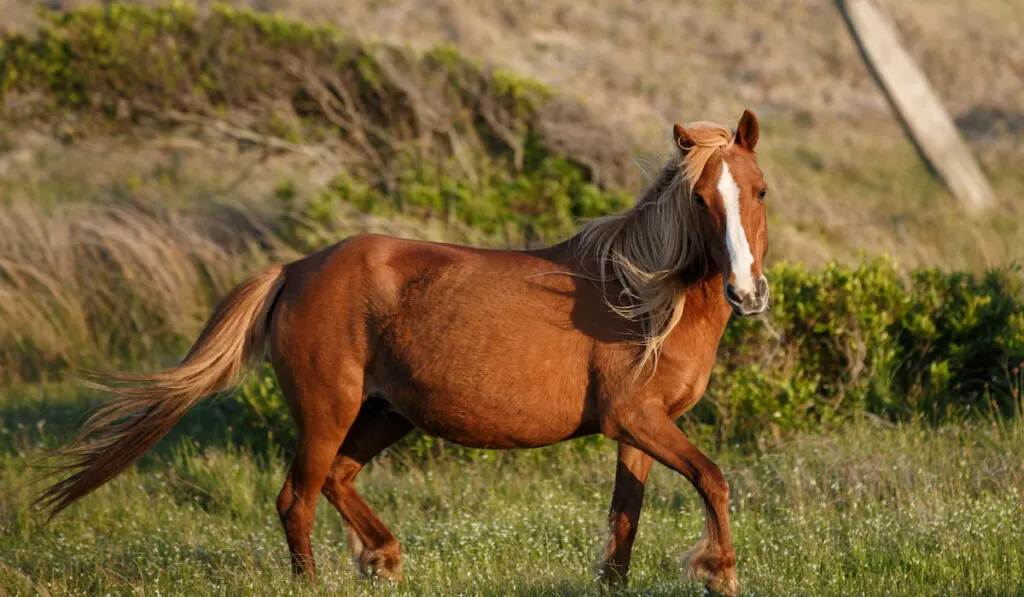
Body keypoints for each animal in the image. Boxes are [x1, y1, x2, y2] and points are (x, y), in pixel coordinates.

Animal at [37, 109, 770, 593]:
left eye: (759, 190)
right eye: (700, 198)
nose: (746, 291)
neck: (644, 298)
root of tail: (296, 269)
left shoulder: (638, 430)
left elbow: (625, 519)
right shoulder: (636, 419)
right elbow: (713, 477)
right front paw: (721, 572)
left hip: (387, 413)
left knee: (336, 480)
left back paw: (384, 556)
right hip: (327, 411)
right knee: (296, 497)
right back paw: (317, 580)